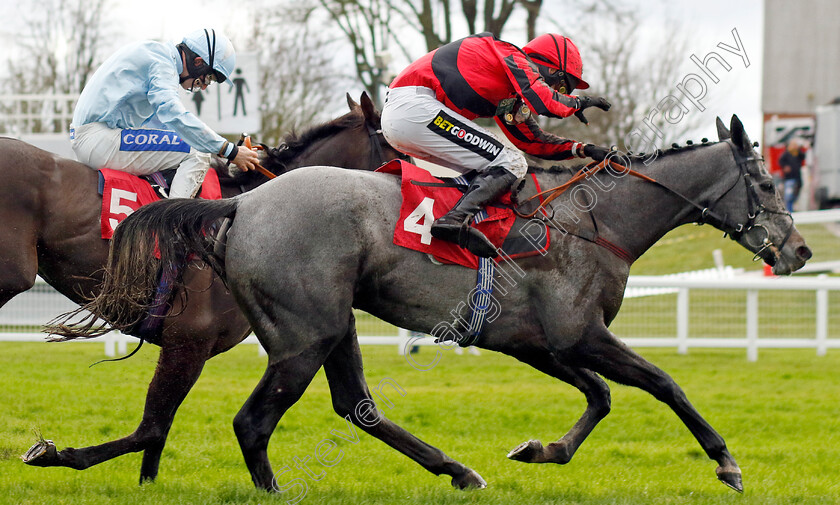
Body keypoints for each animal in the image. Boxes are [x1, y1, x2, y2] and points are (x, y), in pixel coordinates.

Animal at [4, 91, 402, 480]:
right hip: (14, 276)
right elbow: (151, 429)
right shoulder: (188, 340)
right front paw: (53, 453)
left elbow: (156, 435)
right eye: (398, 152)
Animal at [36, 115, 812, 492]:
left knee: (355, 404)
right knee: (254, 421)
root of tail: (240, 203)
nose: (801, 251)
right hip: (303, 335)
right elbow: (663, 383)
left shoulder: (541, 342)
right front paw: (726, 462)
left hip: (332, 325)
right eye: (766, 185)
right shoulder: (578, 335)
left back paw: (457, 470)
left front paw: (541, 448)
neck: (597, 220)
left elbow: (600, 397)